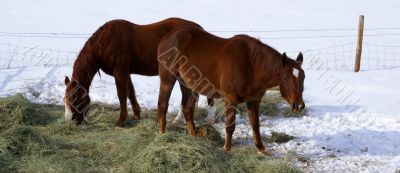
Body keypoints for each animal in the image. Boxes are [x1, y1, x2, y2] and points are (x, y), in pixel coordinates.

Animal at [63, 17, 216, 125]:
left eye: (74, 99)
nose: (70, 120)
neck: (106, 43)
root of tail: (199, 28)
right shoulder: (126, 72)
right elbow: (130, 92)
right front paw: (136, 114)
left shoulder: (120, 71)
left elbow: (122, 94)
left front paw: (121, 120)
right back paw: (179, 119)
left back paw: (209, 118)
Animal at [158, 27, 304, 155]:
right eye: (285, 77)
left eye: (303, 77)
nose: (298, 106)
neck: (251, 65)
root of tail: (168, 37)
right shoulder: (230, 99)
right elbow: (230, 126)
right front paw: (227, 149)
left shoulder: (254, 100)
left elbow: (255, 125)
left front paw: (261, 149)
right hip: (168, 79)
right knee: (163, 105)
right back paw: (162, 134)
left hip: (187, 85)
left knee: (187, 108)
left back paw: (194, 136)